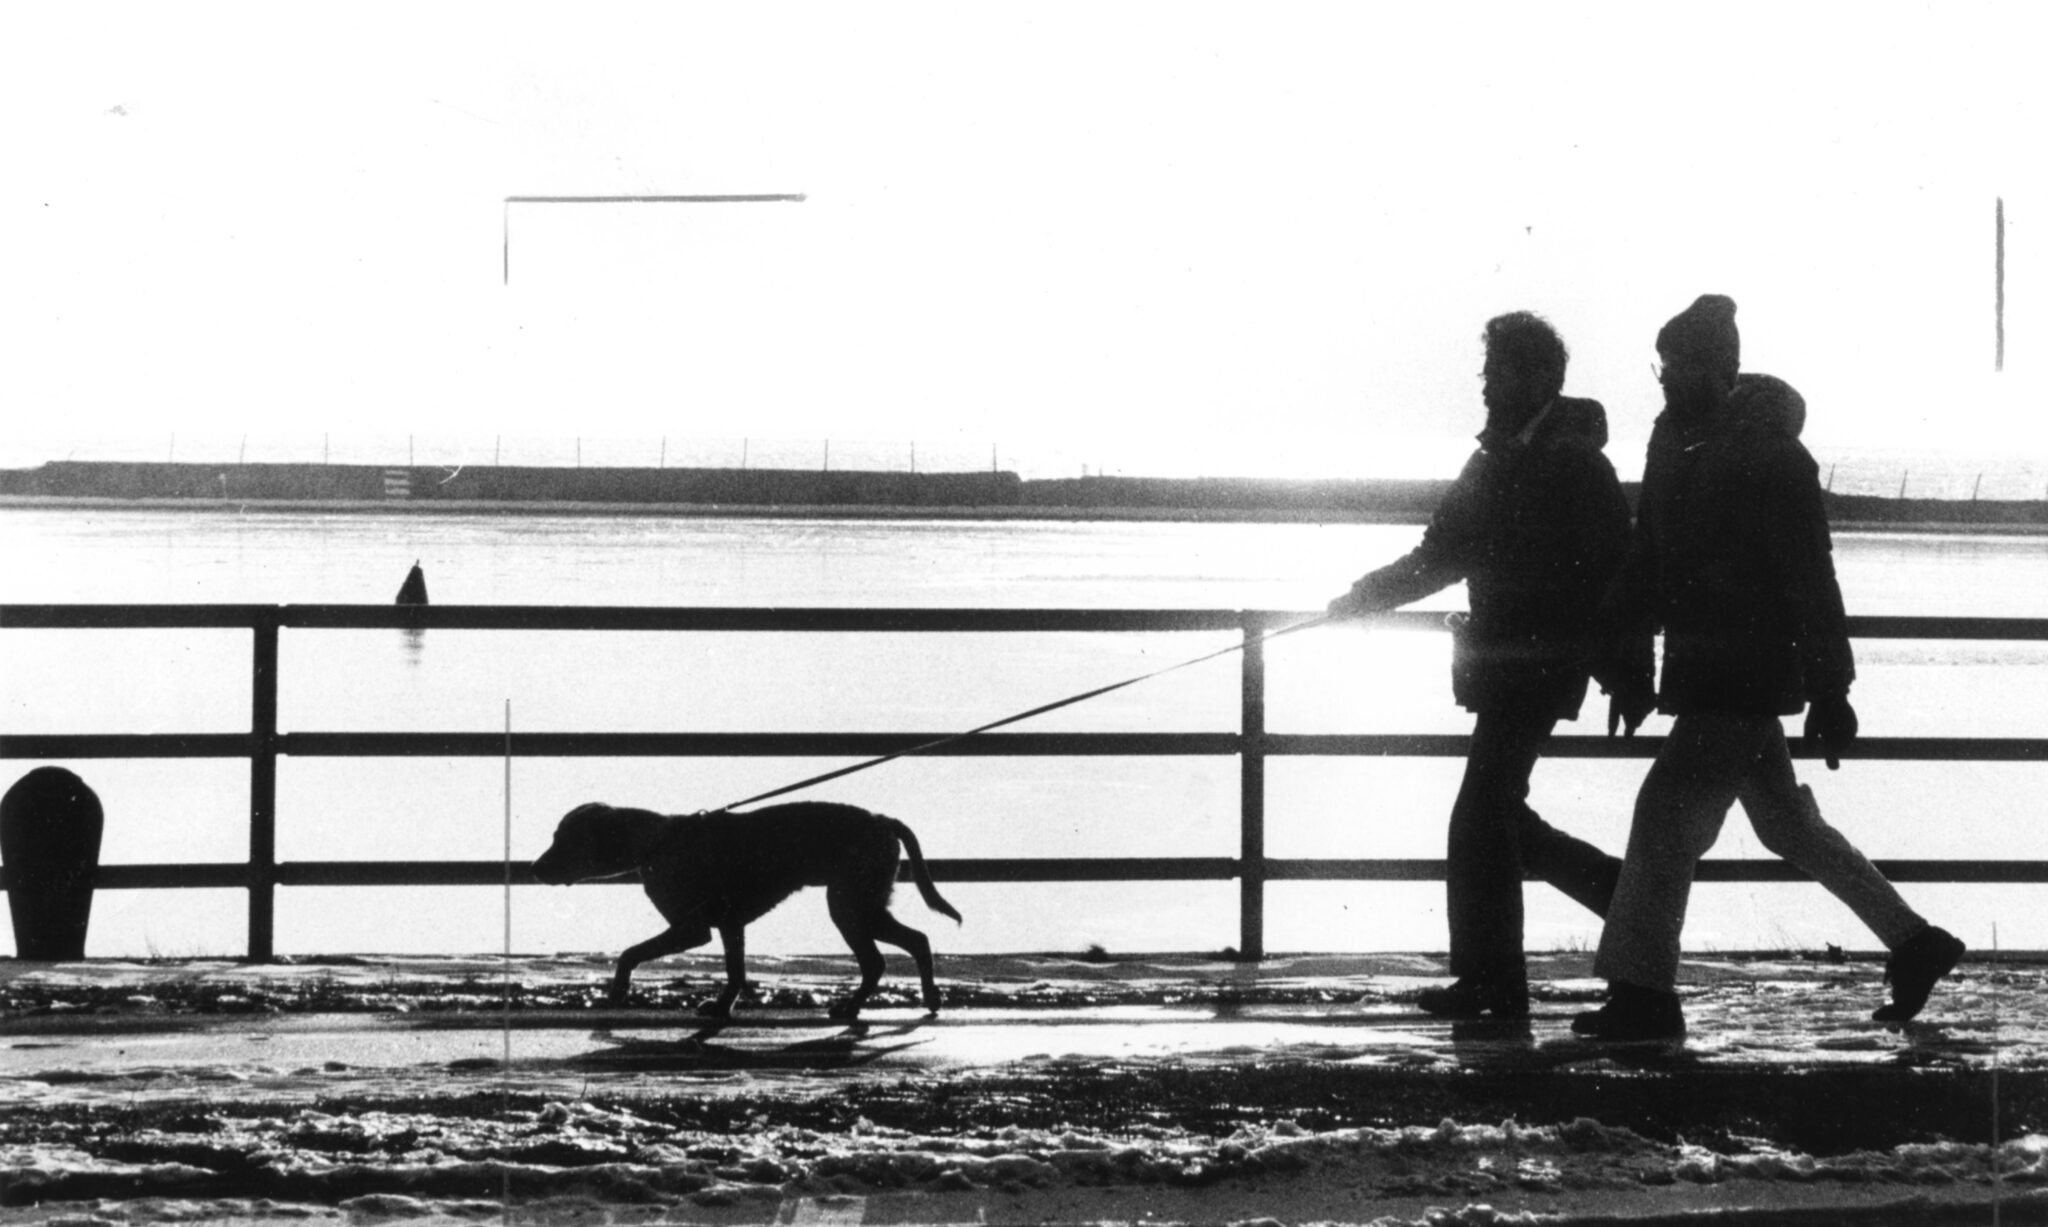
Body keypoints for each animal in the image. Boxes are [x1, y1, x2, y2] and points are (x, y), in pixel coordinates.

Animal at [536, 798, 966, 1016]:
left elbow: (629, 953)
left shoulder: (691, 929)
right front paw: (723, 1005)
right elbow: (735, 972)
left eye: (563, 840)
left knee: (878, 960)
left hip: (849, 905)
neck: (656, 842)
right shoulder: (730, 926)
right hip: (865, 904)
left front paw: (618, 990)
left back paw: (853, 1006)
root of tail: (883, 820)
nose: (534, 869)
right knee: (917, 940)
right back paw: (929, 997)